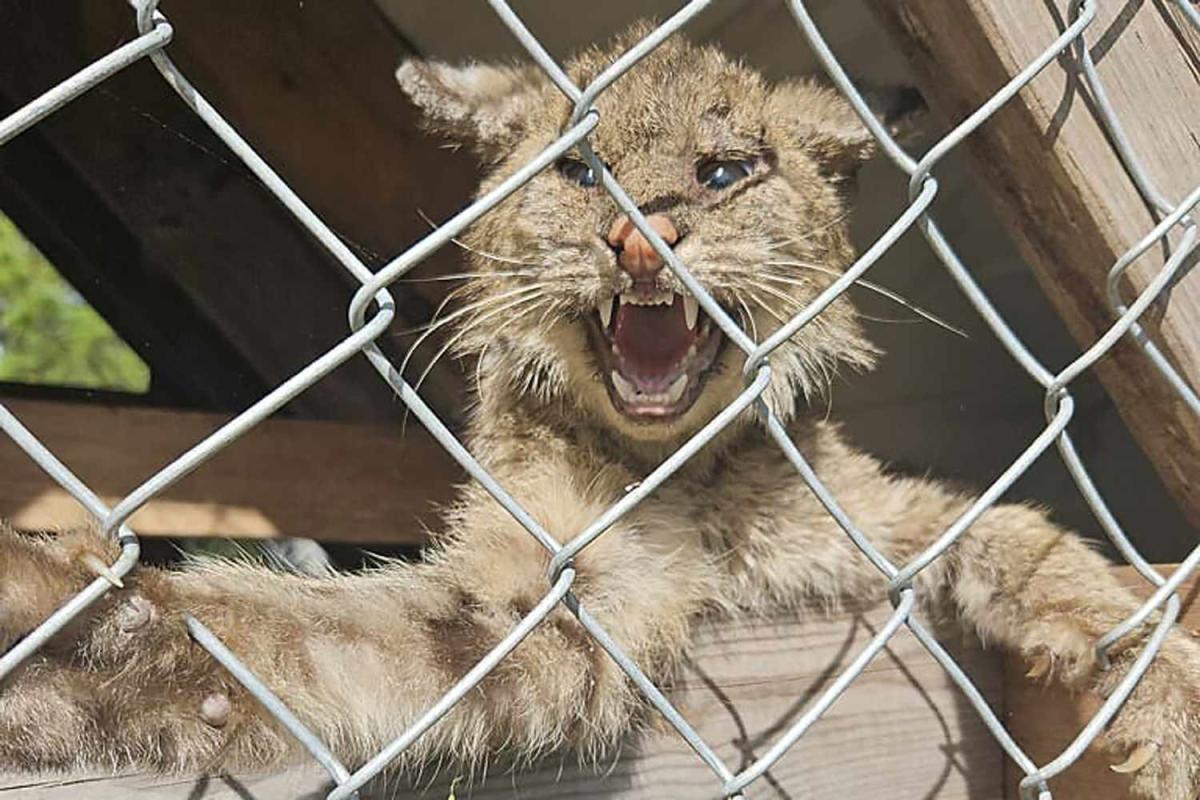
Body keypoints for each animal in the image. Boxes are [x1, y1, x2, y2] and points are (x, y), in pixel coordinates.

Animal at [2, 25, 1200, 800]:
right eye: (582, 170)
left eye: (723, 173)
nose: (641, 237)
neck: (685, 472)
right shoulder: (569, 584)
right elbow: (341, 638)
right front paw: (84, 633)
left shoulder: (875, 518)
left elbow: (1029, 539)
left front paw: (1168, 699)